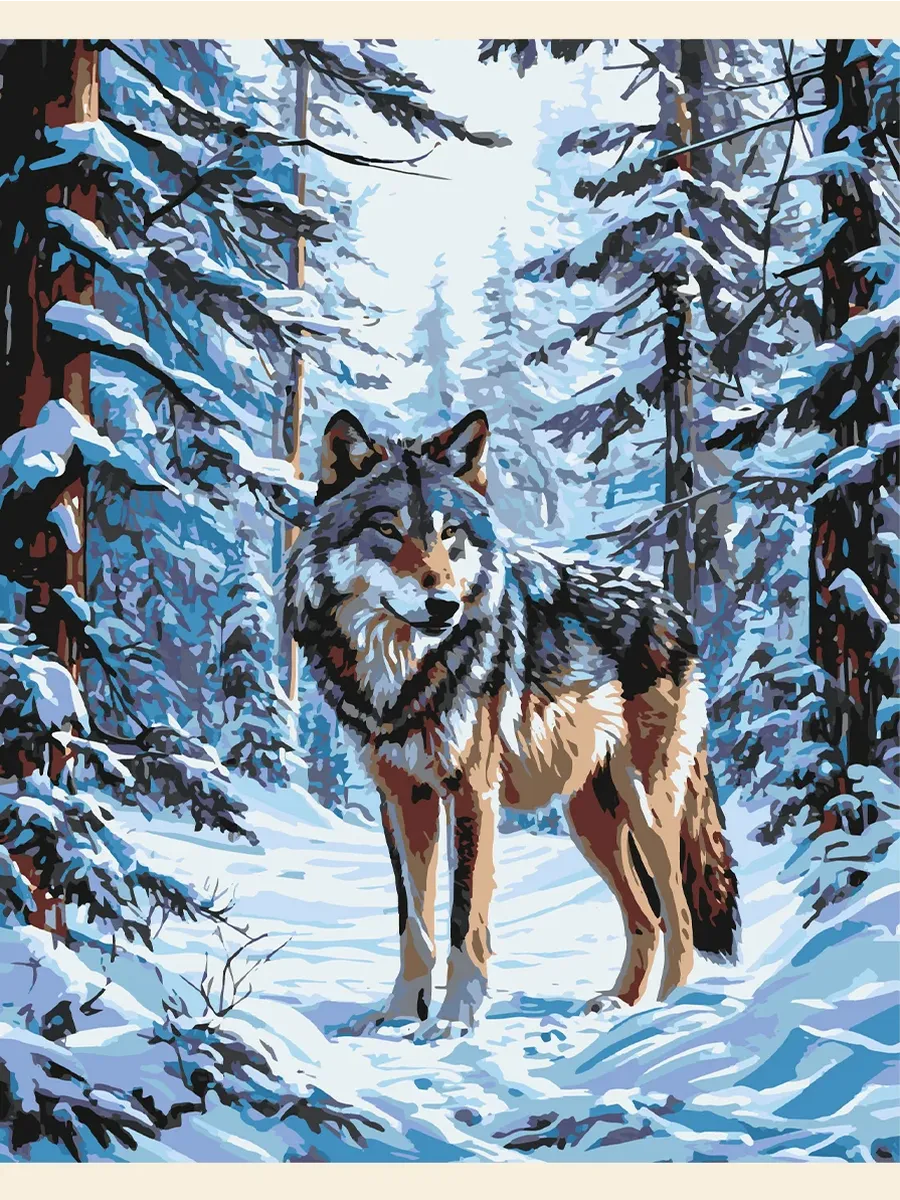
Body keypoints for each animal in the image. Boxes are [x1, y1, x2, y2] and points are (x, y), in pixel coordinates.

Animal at [286, 409, 738, 1041]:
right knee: (646, 917)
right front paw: (399, 1016)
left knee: (679, 915)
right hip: (590, 821)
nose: (444, 606)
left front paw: (455, 1021)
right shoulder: (401, 797)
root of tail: (670, 601)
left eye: (450, 533)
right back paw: (620, 1005)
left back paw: (665, 1015)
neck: (401, 674)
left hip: (648, 807)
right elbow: (413, 926)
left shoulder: (472, 792)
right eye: (388, 529)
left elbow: (463, 917)